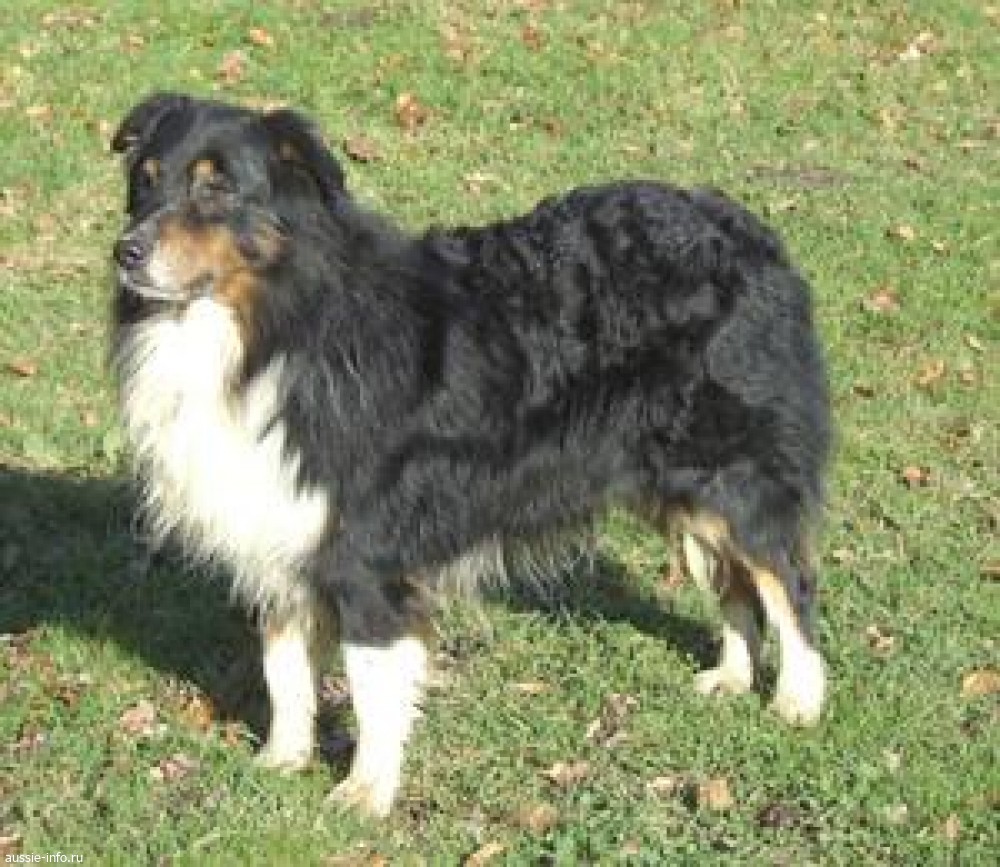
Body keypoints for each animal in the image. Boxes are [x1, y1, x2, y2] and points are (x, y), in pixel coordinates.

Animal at [110, 93, 831, 818]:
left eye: (217, 187)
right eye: (145, 179)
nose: (126, 251)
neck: (274, 325)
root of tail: (749, 231)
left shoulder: (365, 552)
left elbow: (372, 682)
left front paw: (366, 791)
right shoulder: (280, 523)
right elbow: (283, 665)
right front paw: (282, 760)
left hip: (736, 470)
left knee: (786, 578)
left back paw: (799, 699)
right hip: (682, 480)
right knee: (737, 581)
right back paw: (733, 676)